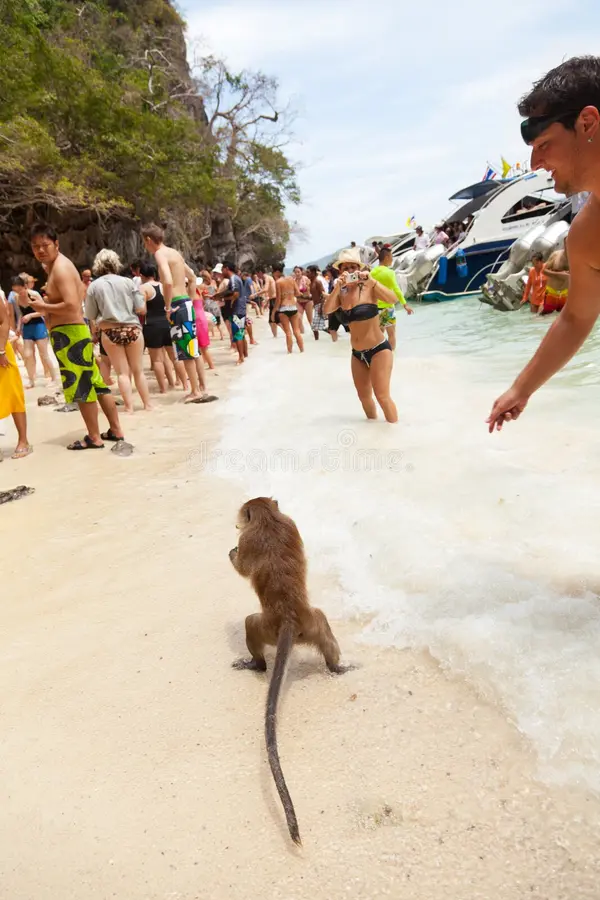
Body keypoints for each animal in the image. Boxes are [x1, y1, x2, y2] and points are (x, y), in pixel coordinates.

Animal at [229, 496, 354, 846]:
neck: (268, 520)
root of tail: (288, 618)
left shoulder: (249, 538)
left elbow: (242, 566)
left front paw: (232, 553)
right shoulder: (290, 522)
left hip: (267, 626)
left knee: (250, 624)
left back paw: (255, 664)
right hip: (314, 623)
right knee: (325, 629)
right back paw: (337, 667)